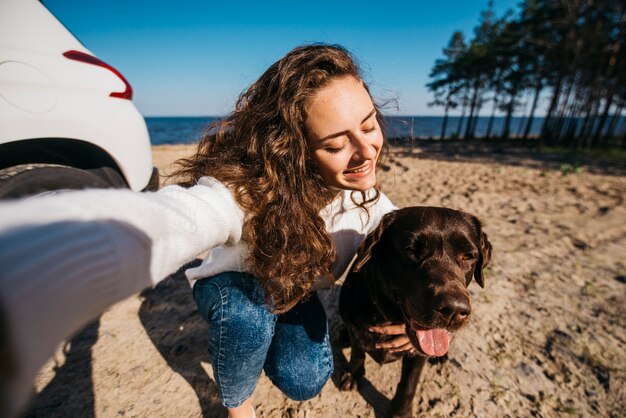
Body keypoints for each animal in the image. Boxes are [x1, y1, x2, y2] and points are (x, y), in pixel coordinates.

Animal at [338, 207, 490, 418]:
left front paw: (400, 412)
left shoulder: (417, 355)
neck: (387, 318)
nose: (453, 309)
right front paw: (353, 374)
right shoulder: (355, 326)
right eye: (410, 250)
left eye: (468, 256)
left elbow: (408, 383)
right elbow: (357, 352)